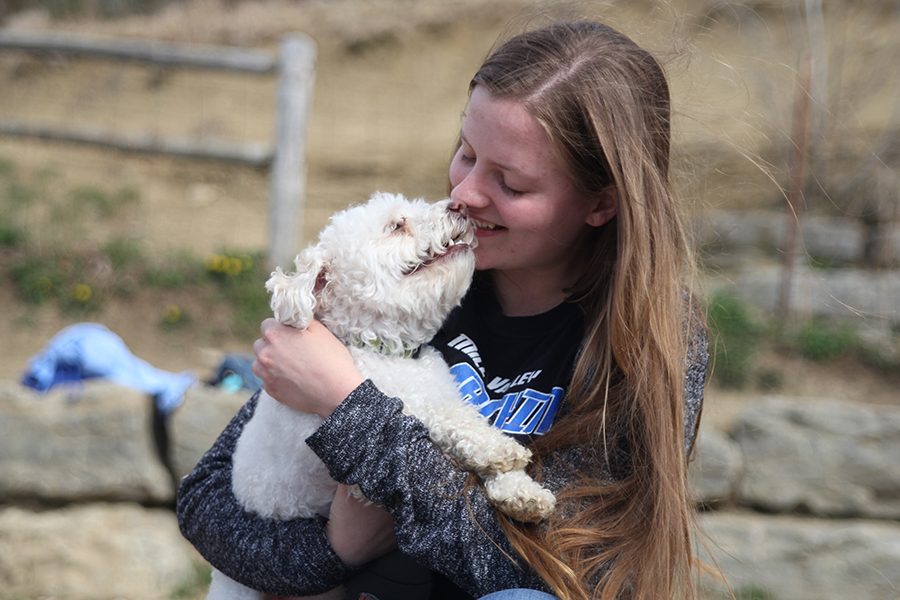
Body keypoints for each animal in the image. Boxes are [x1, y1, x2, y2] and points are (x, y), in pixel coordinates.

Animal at [208, 192, 556, 600]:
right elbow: (444, 421)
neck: (390, 352)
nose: (458, 205)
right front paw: (496, 449)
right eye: (396, 226)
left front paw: (521, 492)